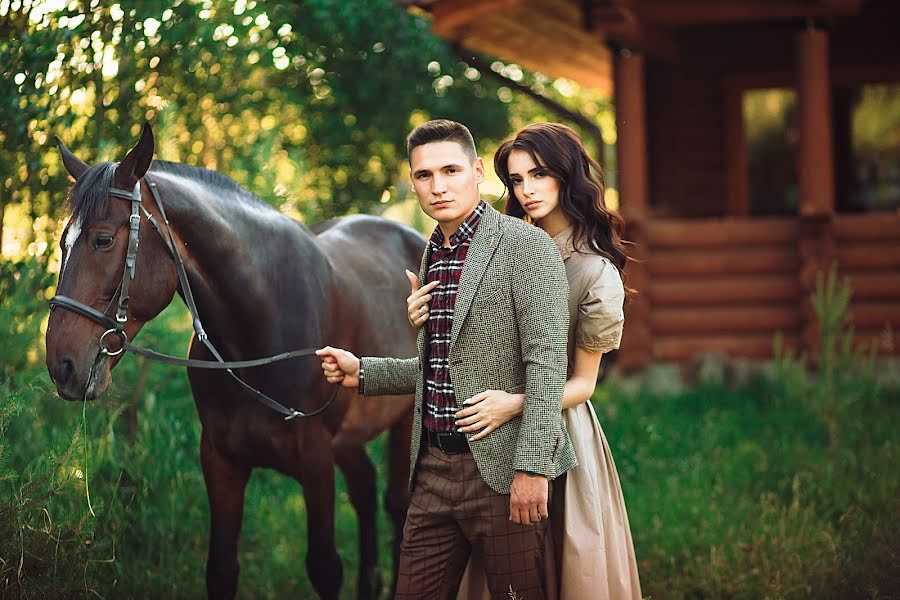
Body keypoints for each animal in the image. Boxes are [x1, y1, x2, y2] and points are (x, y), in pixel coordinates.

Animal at [41, 124, 422, 596]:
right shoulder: (221, 461)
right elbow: (221, 570)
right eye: (63, 242)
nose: (61, 364)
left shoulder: (316, 460)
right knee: (366, 489)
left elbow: (325, 567)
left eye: (103, 239)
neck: (255, 338)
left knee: (398, 507)